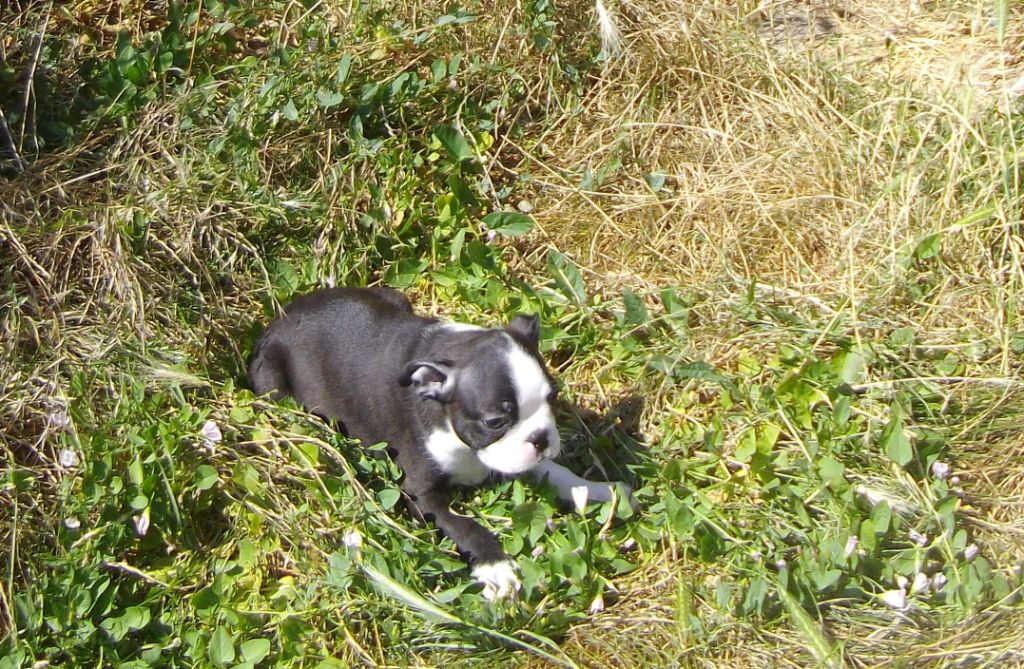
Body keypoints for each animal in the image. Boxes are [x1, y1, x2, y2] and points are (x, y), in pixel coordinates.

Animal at [248, 287, 632, 600]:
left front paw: (599, 490)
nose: (540, 438)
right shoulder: (421, 493)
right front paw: (496, 567)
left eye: (553, 398)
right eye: (495, 421)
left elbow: (557, 472)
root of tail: (280, 317)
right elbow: (465, 525)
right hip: (273, 382)